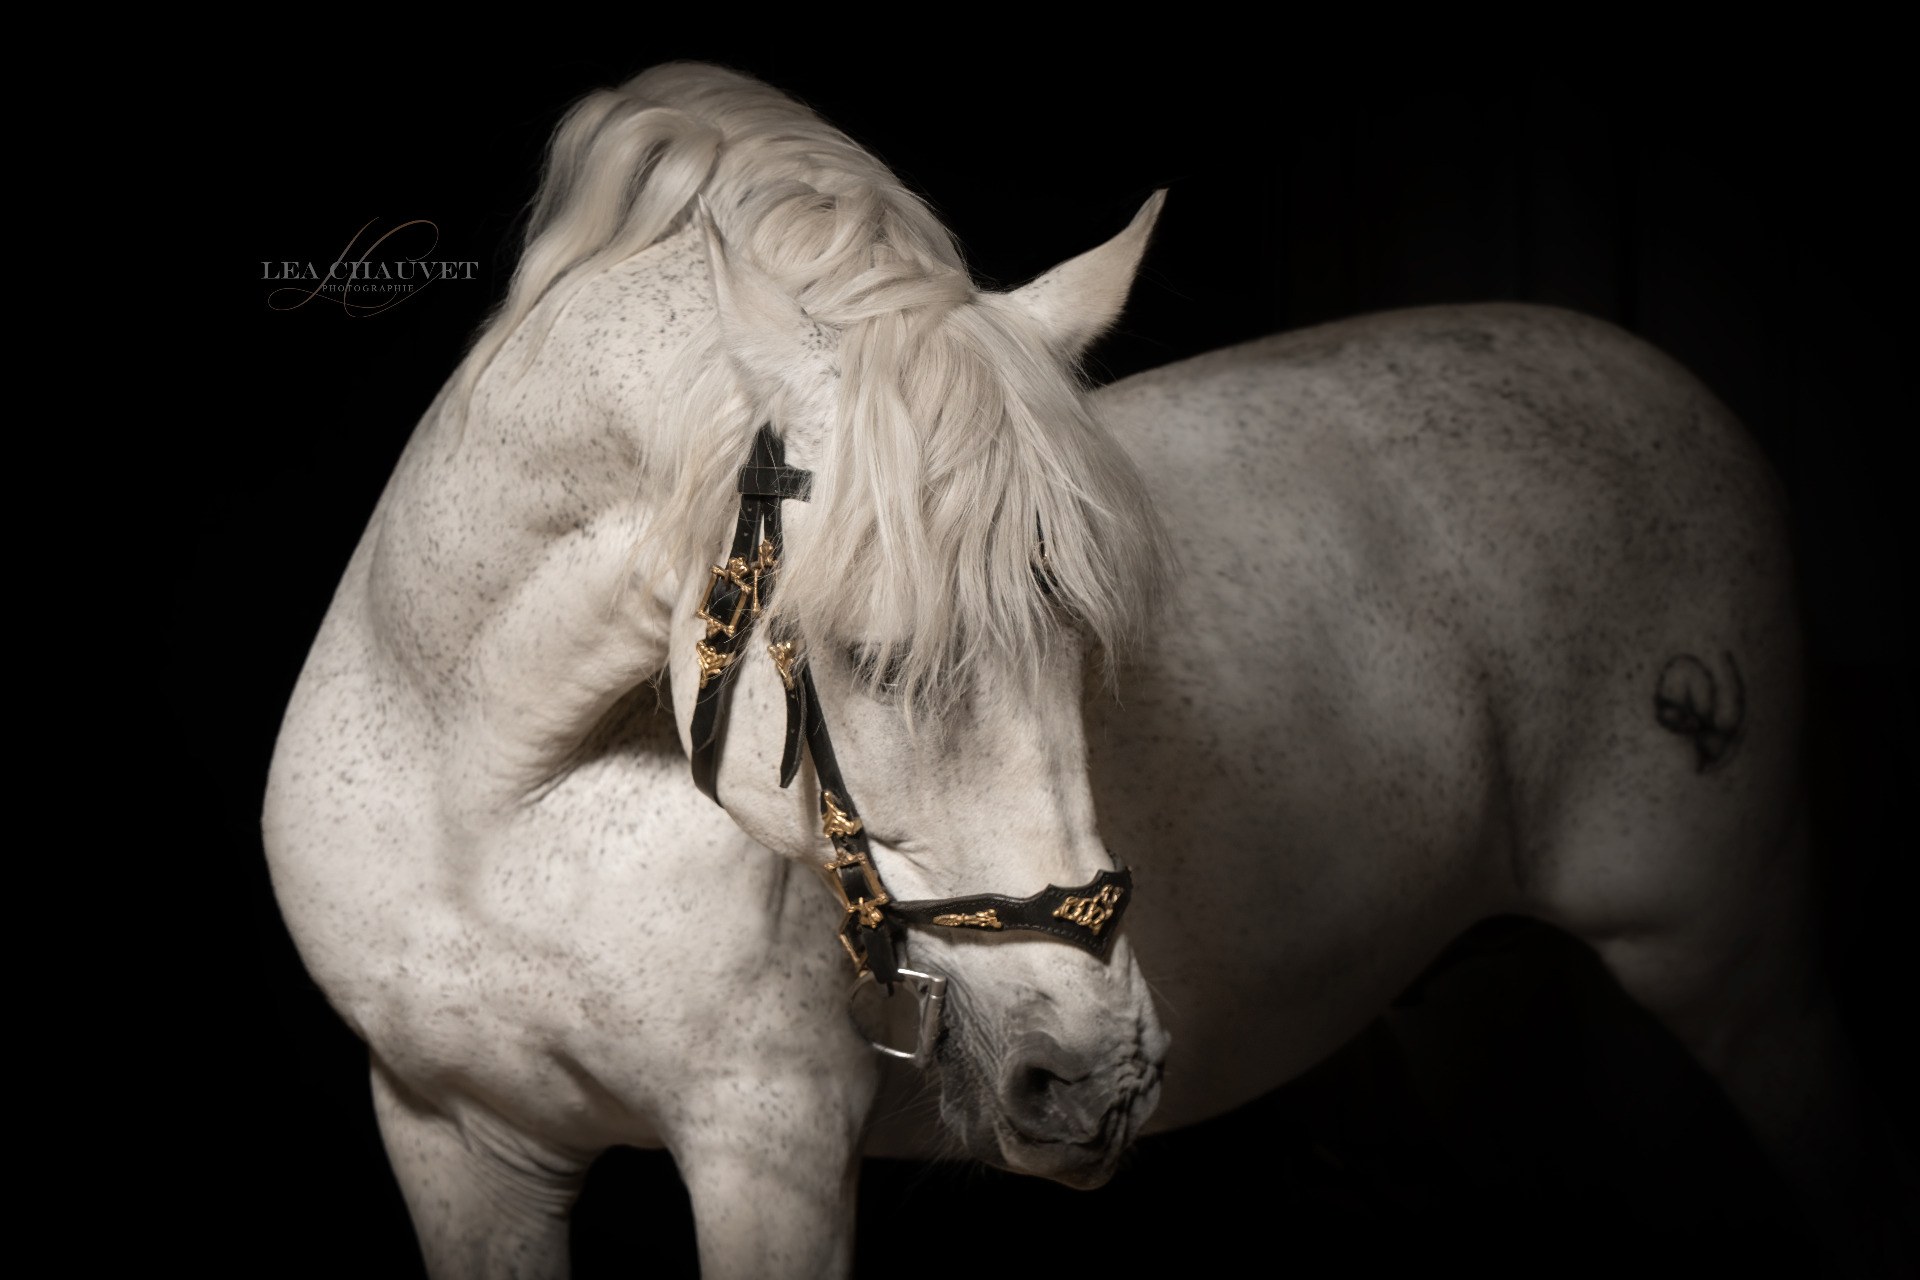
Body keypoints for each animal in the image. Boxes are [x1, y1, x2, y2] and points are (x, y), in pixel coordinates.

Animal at [260, 62, 1903, 1277]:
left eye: (1080, 639)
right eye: (866, 651)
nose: (1097, 1078)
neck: (486, 804)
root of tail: (1679, 393)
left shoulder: (766, 1157)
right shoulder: (453, 1139)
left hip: (1736, 970)